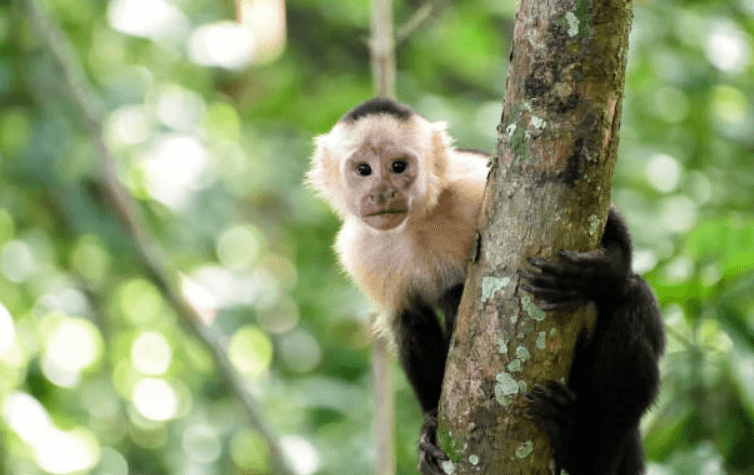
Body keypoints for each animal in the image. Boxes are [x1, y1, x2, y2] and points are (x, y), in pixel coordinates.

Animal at [306, 97, 665, 475]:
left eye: (398, 166)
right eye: (363, 169)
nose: (382, 192)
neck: (416, 222)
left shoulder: (471, 181)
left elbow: (605, 218)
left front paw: (595, 272)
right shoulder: (359, 251)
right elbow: (409, 321)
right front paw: (429, 427)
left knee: (633, 298)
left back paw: (584, 453)